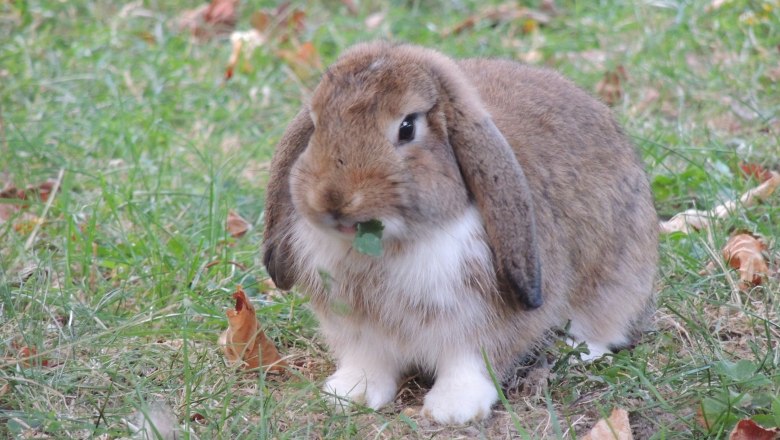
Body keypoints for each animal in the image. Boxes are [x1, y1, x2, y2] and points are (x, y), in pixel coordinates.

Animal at [262, 41, 658, 424]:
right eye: (316, 124)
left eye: (407, 127)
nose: (333, 199)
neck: (392, 246)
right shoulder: (358, 331)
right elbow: (368, 362)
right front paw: (349, 394)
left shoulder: (481, 325)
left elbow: (470, 363)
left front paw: (453, 409)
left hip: (616, 277)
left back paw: (575, 351)